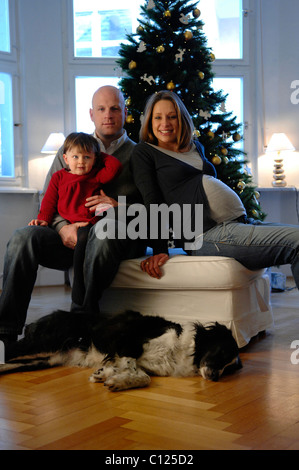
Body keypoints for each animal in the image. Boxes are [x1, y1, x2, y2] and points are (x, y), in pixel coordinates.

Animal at [0, 310, 243, 392]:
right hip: (39, 345)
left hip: (43, 359)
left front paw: (106, 375)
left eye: (229, 369)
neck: (182, 348)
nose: (215, 377)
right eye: (222, 353)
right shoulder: (127, 342)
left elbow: (140, 374)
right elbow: (138, 372)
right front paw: (118, 382)